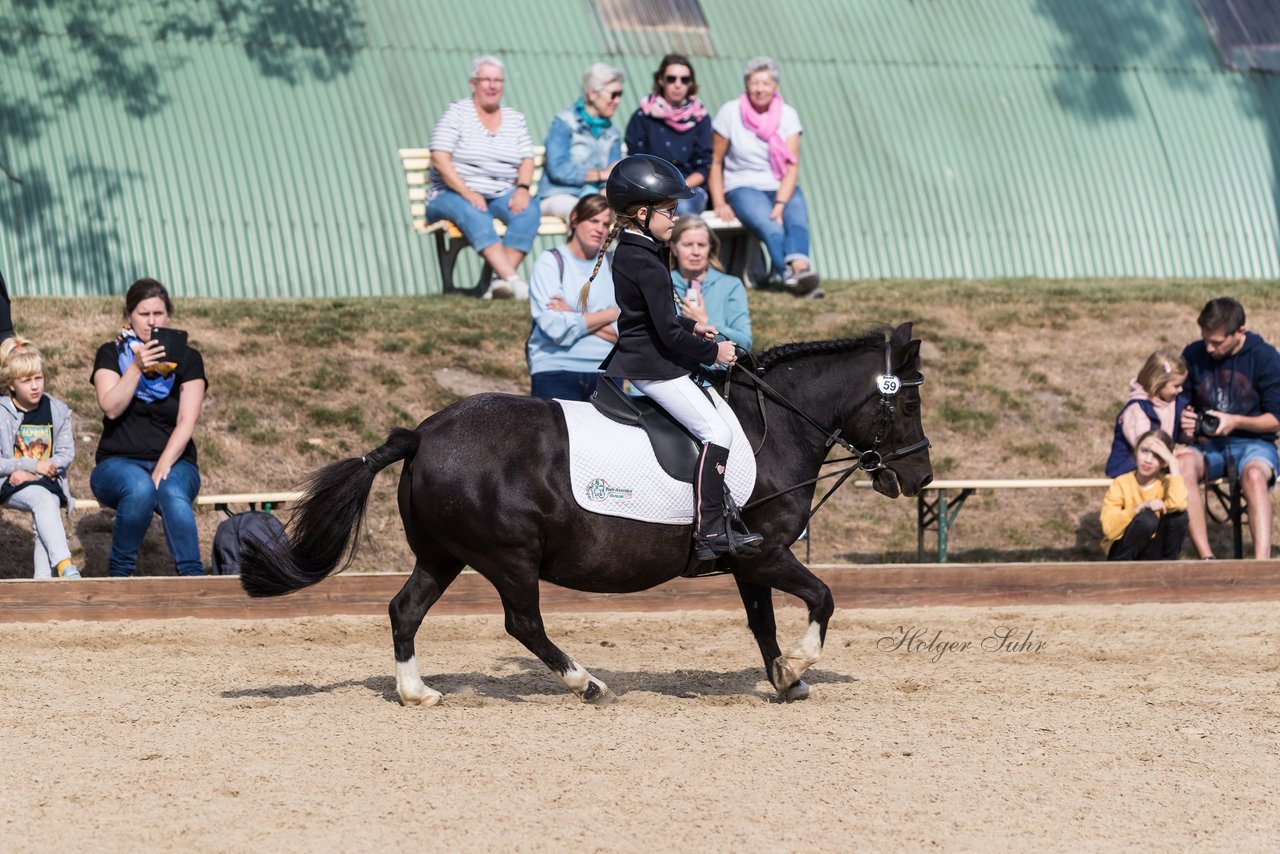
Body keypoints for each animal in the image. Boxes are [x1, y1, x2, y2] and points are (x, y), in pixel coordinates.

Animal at [240, 323, 936, 706]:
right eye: (906, 408)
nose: (919, 478)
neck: (775, 427)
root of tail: (424, 433)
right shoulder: (765, 552)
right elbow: (822, 598)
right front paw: (797, 667)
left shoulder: (747, 562)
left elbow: (763, 624)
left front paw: (785, 680)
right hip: (509, 557)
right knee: (523, 622)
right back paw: (587, 684)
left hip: (443, 556)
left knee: (405, 609)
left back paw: (417, 693)